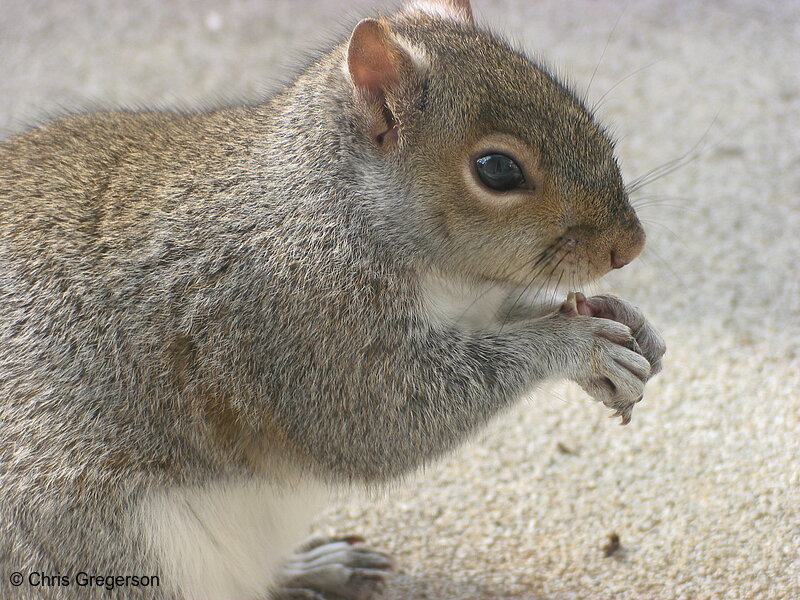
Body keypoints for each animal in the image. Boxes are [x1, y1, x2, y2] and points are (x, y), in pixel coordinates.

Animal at [0, 1, 664, 600]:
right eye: (497, 169)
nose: (628, 247)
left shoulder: (475, 301)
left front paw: (627, 324)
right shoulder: (301, 315)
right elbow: (380, 420)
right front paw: (578, 345)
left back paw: (315, 567)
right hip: (96, 544)